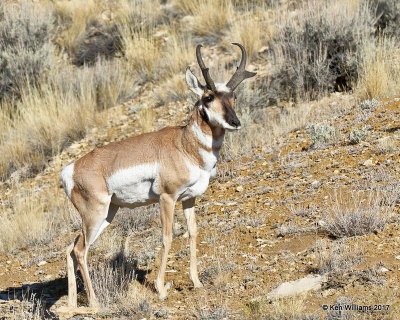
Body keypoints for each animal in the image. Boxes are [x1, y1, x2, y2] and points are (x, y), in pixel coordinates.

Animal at [60, 43, 255, 308]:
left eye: (233, 96)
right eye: (208, 97)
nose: (235, 122)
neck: (185, 144)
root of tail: (71, 169)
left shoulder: (189, 199)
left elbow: (193, 233)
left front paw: (197, 282)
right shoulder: (167, 198)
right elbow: (167, 237)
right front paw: (161, 290)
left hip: (107, 214)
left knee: (71, 248)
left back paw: (72, 304)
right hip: (95, 214)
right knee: (80, 250)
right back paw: (95, 303)